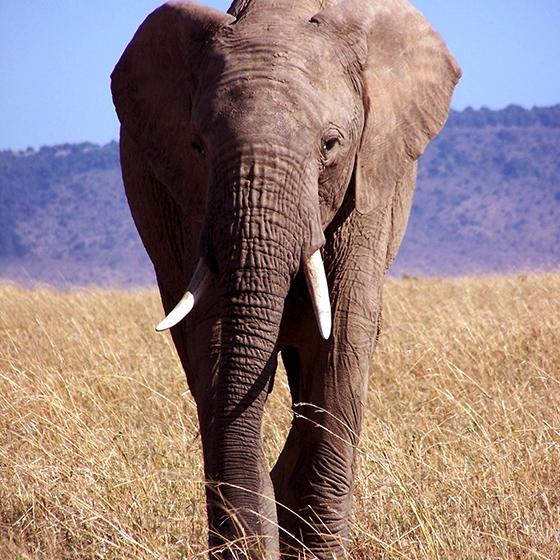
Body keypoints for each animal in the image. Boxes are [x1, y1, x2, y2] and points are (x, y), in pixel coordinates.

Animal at [112, 0, 460, 556]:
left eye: (331, 144)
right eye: (197, 145)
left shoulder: (370, 183)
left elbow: (343, 337)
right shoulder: (194, 203)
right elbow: (216, 336)